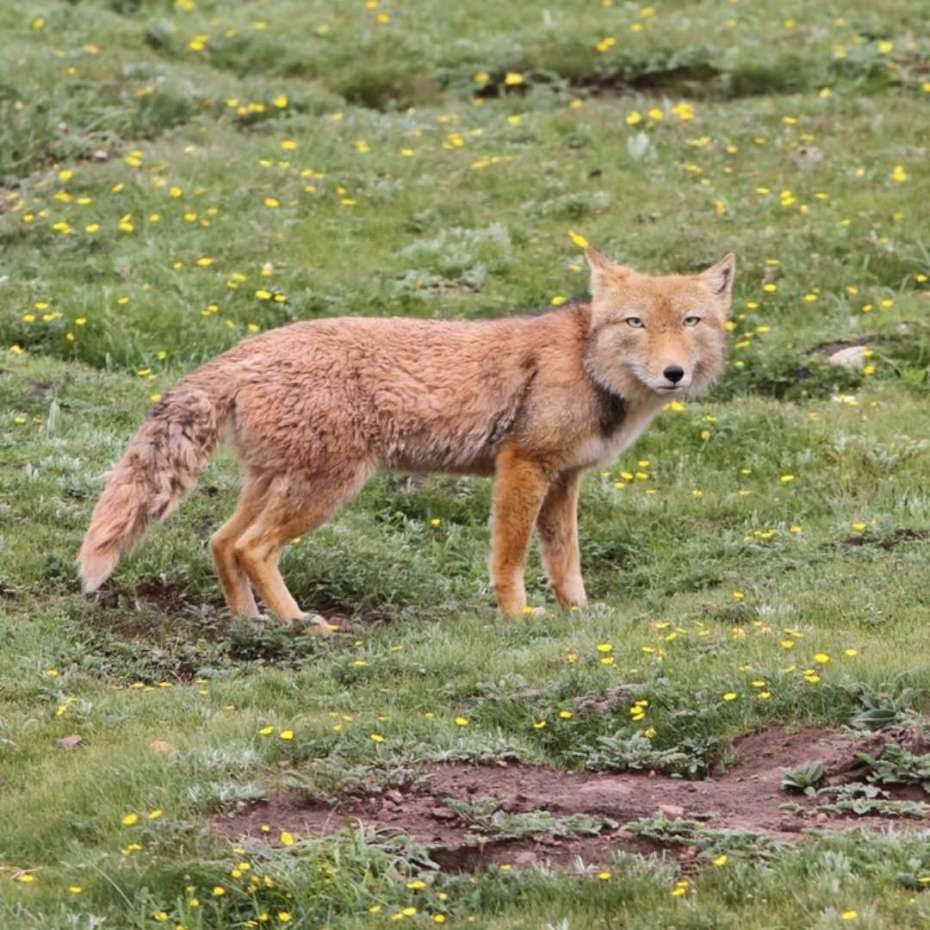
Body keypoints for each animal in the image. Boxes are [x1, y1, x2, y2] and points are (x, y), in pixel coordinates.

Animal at [78, 248, 735, 627]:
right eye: (636, 323)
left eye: (691, 322)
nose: (673, 373)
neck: (586, 362)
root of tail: (244, 352)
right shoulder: (523, 465)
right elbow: (510, 556)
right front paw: (518, 618)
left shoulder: (564, 478)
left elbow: (565, 560)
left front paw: (581, 615)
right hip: (326, 489)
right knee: (252, 548)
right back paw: (300, 623)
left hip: (276, 483)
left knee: (221, 541)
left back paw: (251, 624)